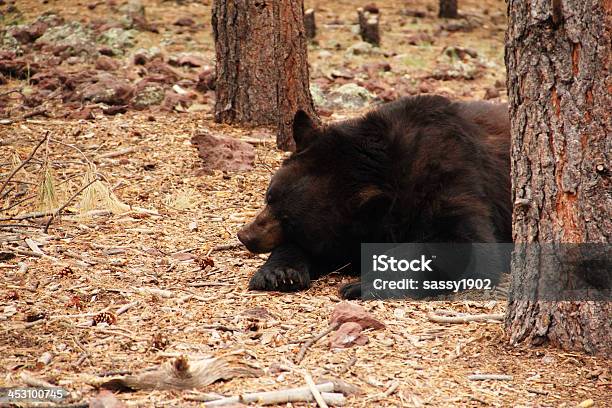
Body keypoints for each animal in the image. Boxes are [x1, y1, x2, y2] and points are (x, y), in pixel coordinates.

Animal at [237, 95, 510, 300]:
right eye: (269, 197)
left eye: (289, 221)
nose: (246, 236)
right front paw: (279, 273)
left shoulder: (452, 177)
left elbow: (464, 244)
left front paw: (359, 285)